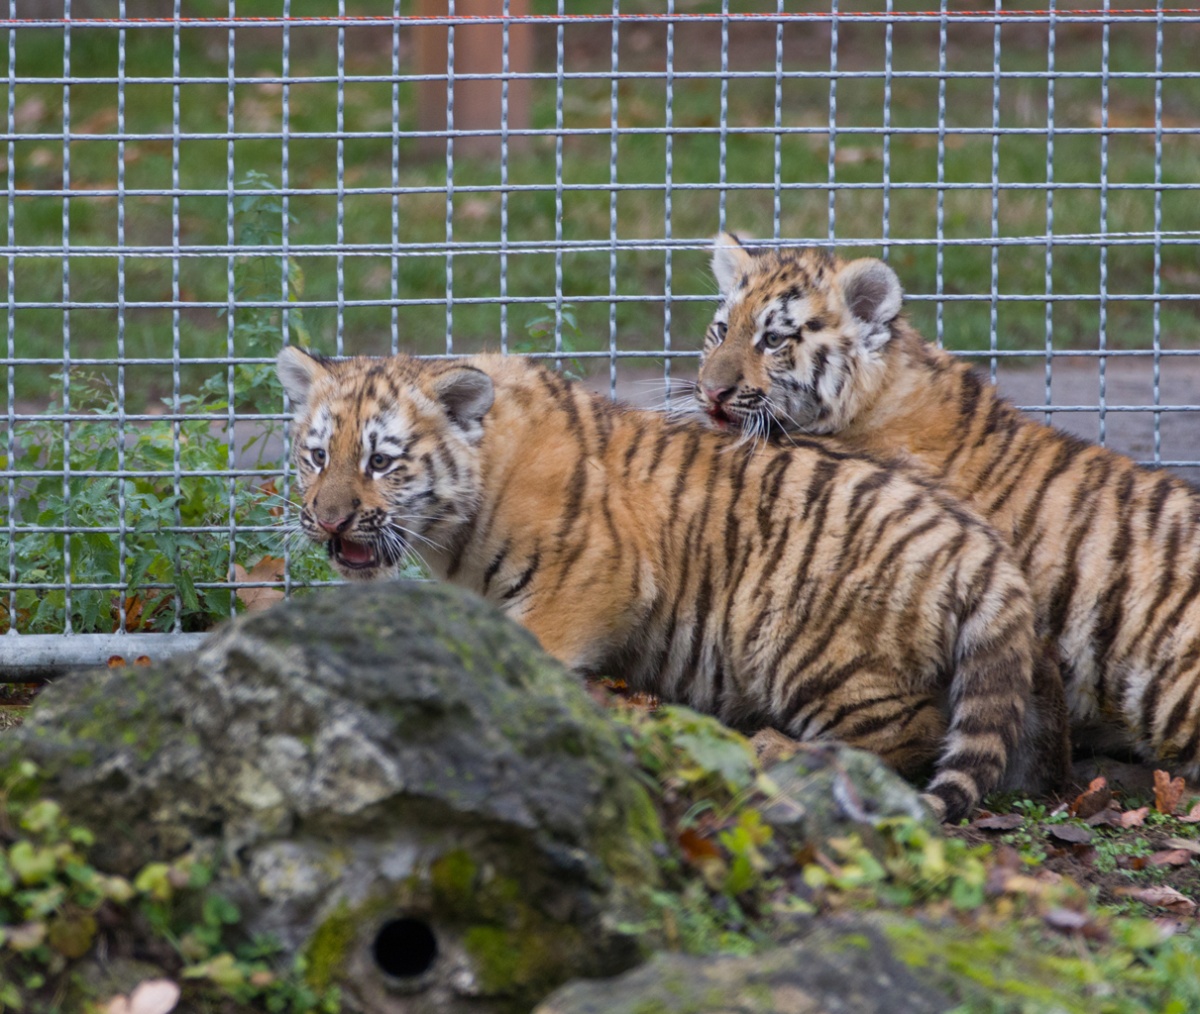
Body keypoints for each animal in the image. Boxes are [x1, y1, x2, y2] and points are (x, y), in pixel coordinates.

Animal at [276, 345, 1069, 822]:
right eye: (317, 456)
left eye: (381, 462)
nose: (327, 520)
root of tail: (985, 547)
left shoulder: (600, 575)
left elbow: (536, 654)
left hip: (813, 649)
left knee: (910, 734)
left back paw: (776, 750)